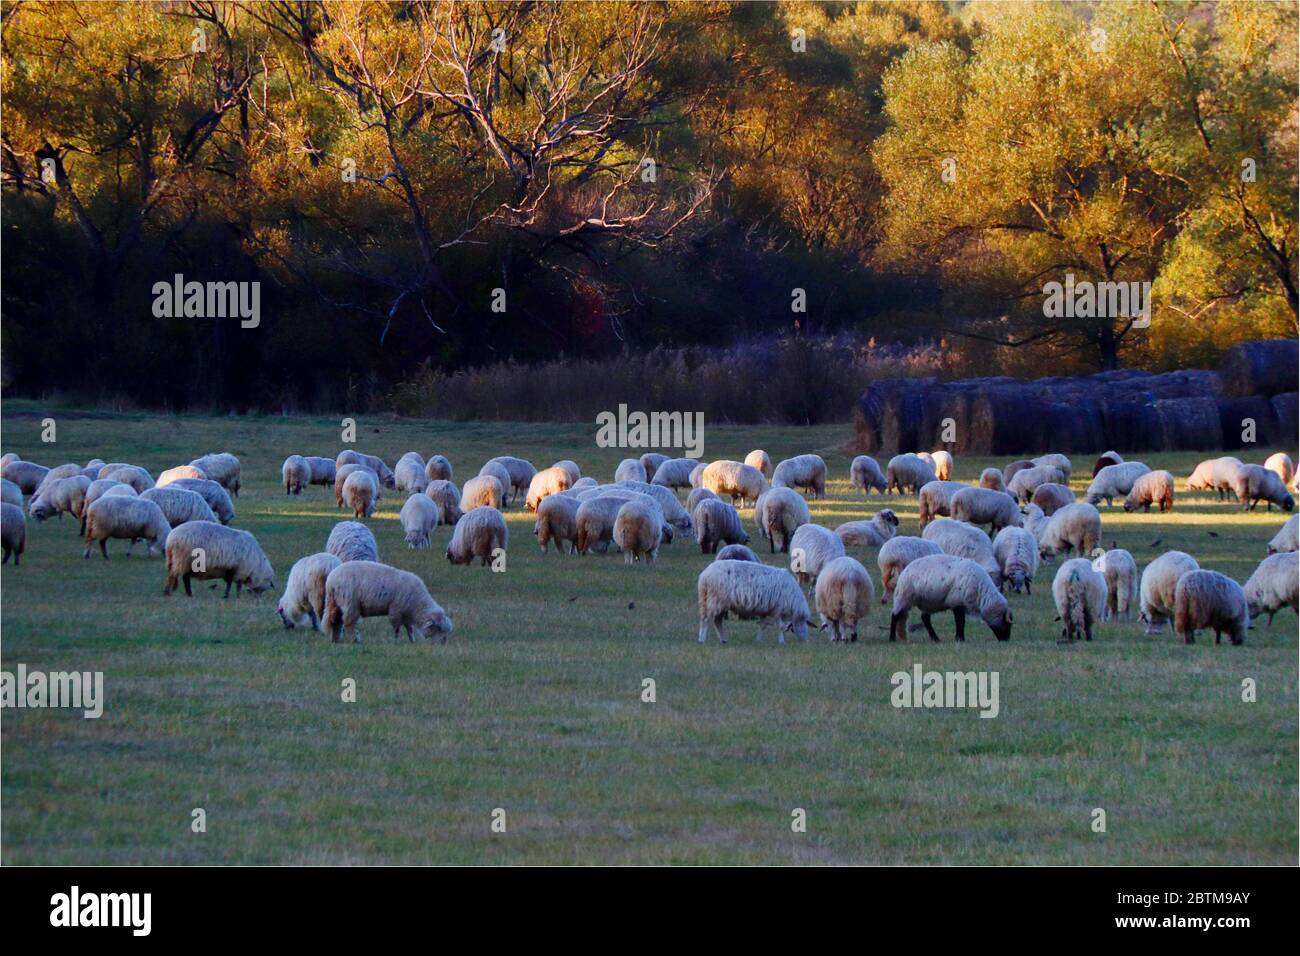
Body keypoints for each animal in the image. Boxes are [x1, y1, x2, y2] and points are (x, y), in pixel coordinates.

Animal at [323, 560, 452, 644]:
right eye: (439, 628)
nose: (443, 643)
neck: (418, 604)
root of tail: (331, 580)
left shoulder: (406, 613)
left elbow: (409, 628)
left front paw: (412, 641)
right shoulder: (396, 610)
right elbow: (397, 627)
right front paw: (395, 640)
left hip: (334, 602)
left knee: (334, 619)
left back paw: (334, 639)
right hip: (350, 602)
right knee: (348, 622)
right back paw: (355, 640)